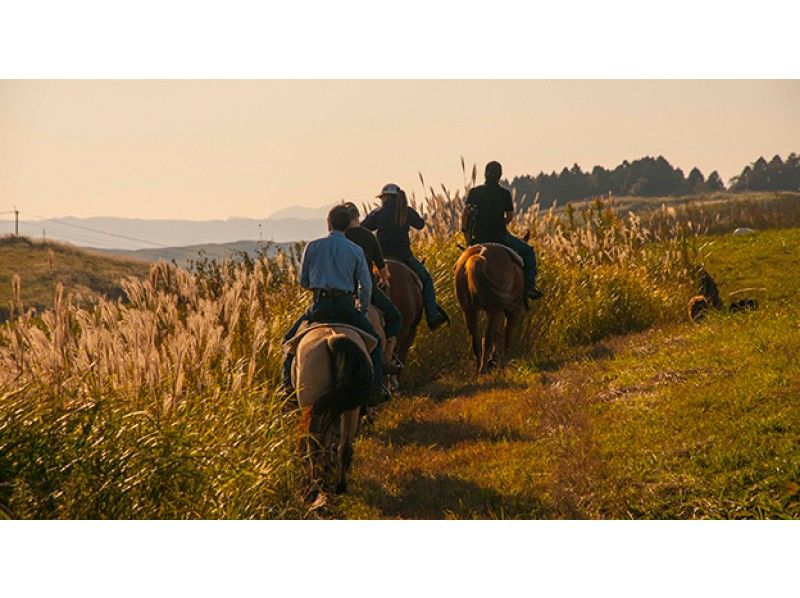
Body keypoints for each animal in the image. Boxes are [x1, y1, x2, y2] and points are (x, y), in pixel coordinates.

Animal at [286, 326, 376, 500]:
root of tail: (333, 339)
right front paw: (328, 465)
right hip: (350, 409)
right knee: (345, 446)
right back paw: (340, 486)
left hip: (313, 408)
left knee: (313, 447)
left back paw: (313, 487)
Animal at [456, 243, 524, 376]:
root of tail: (480, 255)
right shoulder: (510, 311)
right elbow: (506, 336)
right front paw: (502, 363)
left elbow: (496, 334)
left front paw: (494, 360)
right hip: (494, 309)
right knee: (488, 337)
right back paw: (484, 369)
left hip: (470, 310)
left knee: (475, 338)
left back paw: (479, 369)